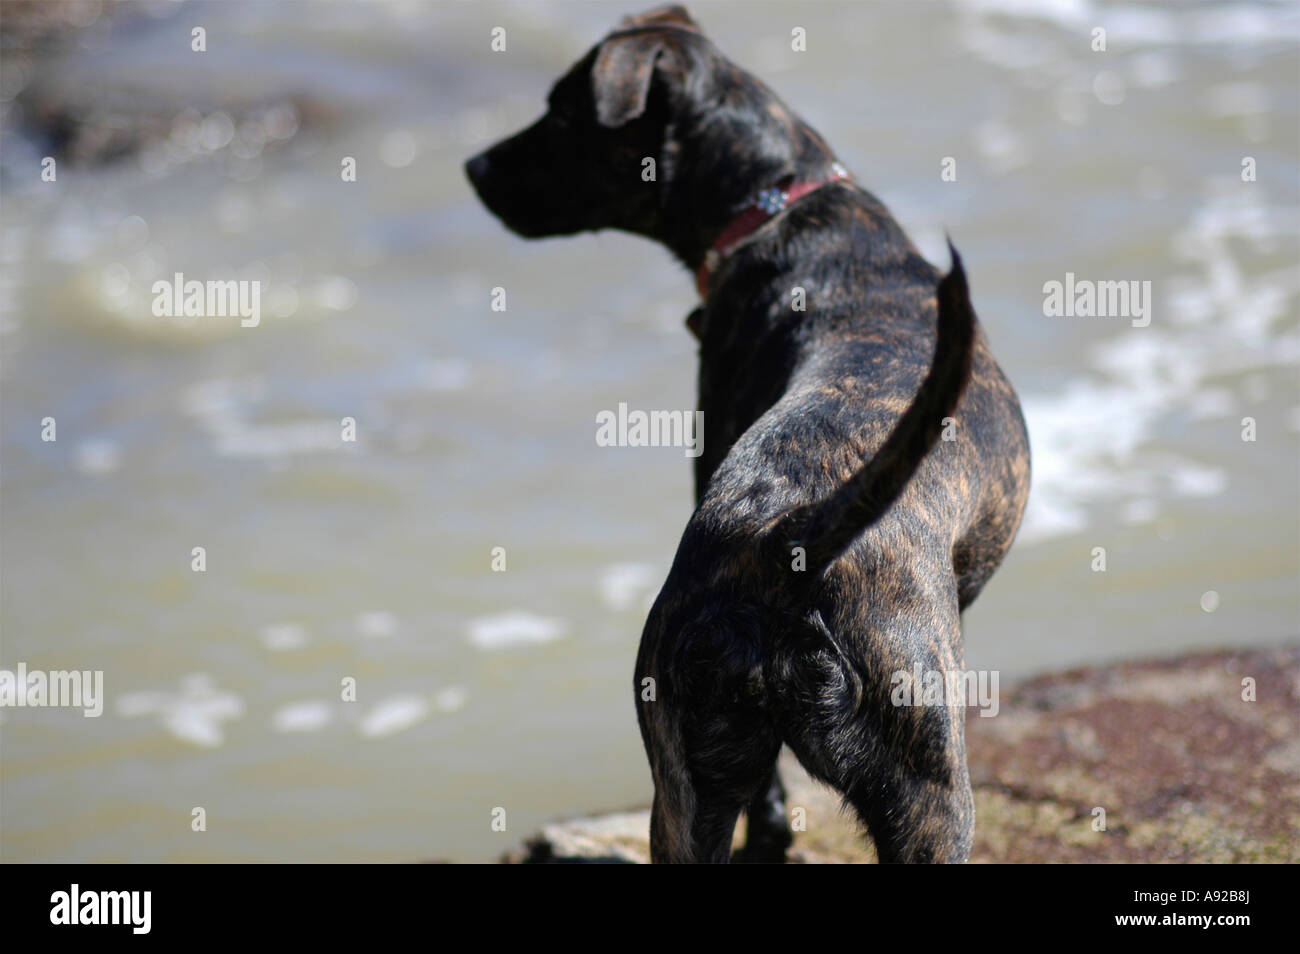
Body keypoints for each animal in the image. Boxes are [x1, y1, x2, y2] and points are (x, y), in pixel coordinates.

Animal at [462, 1, 1029, 868]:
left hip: (691, 783)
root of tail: (787, 543)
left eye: (562, 112)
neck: (779, 203)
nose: (475, 166)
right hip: (931, 796)